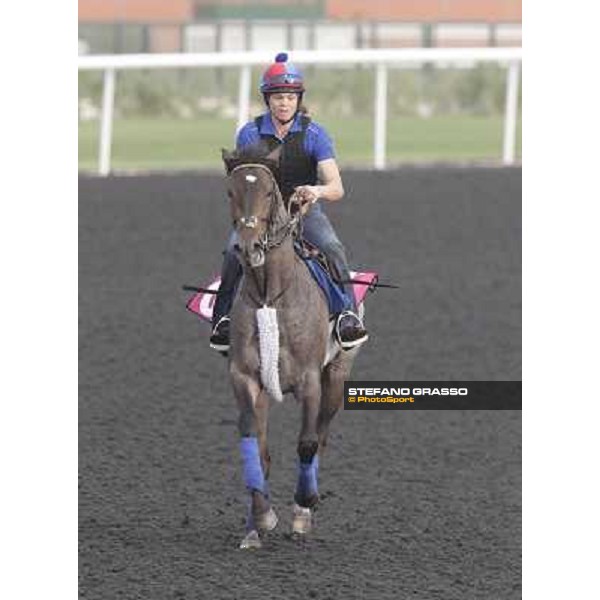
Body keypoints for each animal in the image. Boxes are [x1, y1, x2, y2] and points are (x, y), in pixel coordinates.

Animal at [220, 144, 364, 548]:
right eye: (230, 192)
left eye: (270, 192)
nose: (248, 246)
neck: (271, 293)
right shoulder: (244, 377)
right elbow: (253, 441)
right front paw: (259, 519)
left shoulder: (310, 380)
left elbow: (307, 443)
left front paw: (301, 510)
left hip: (337, 376)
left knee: (322, 436)